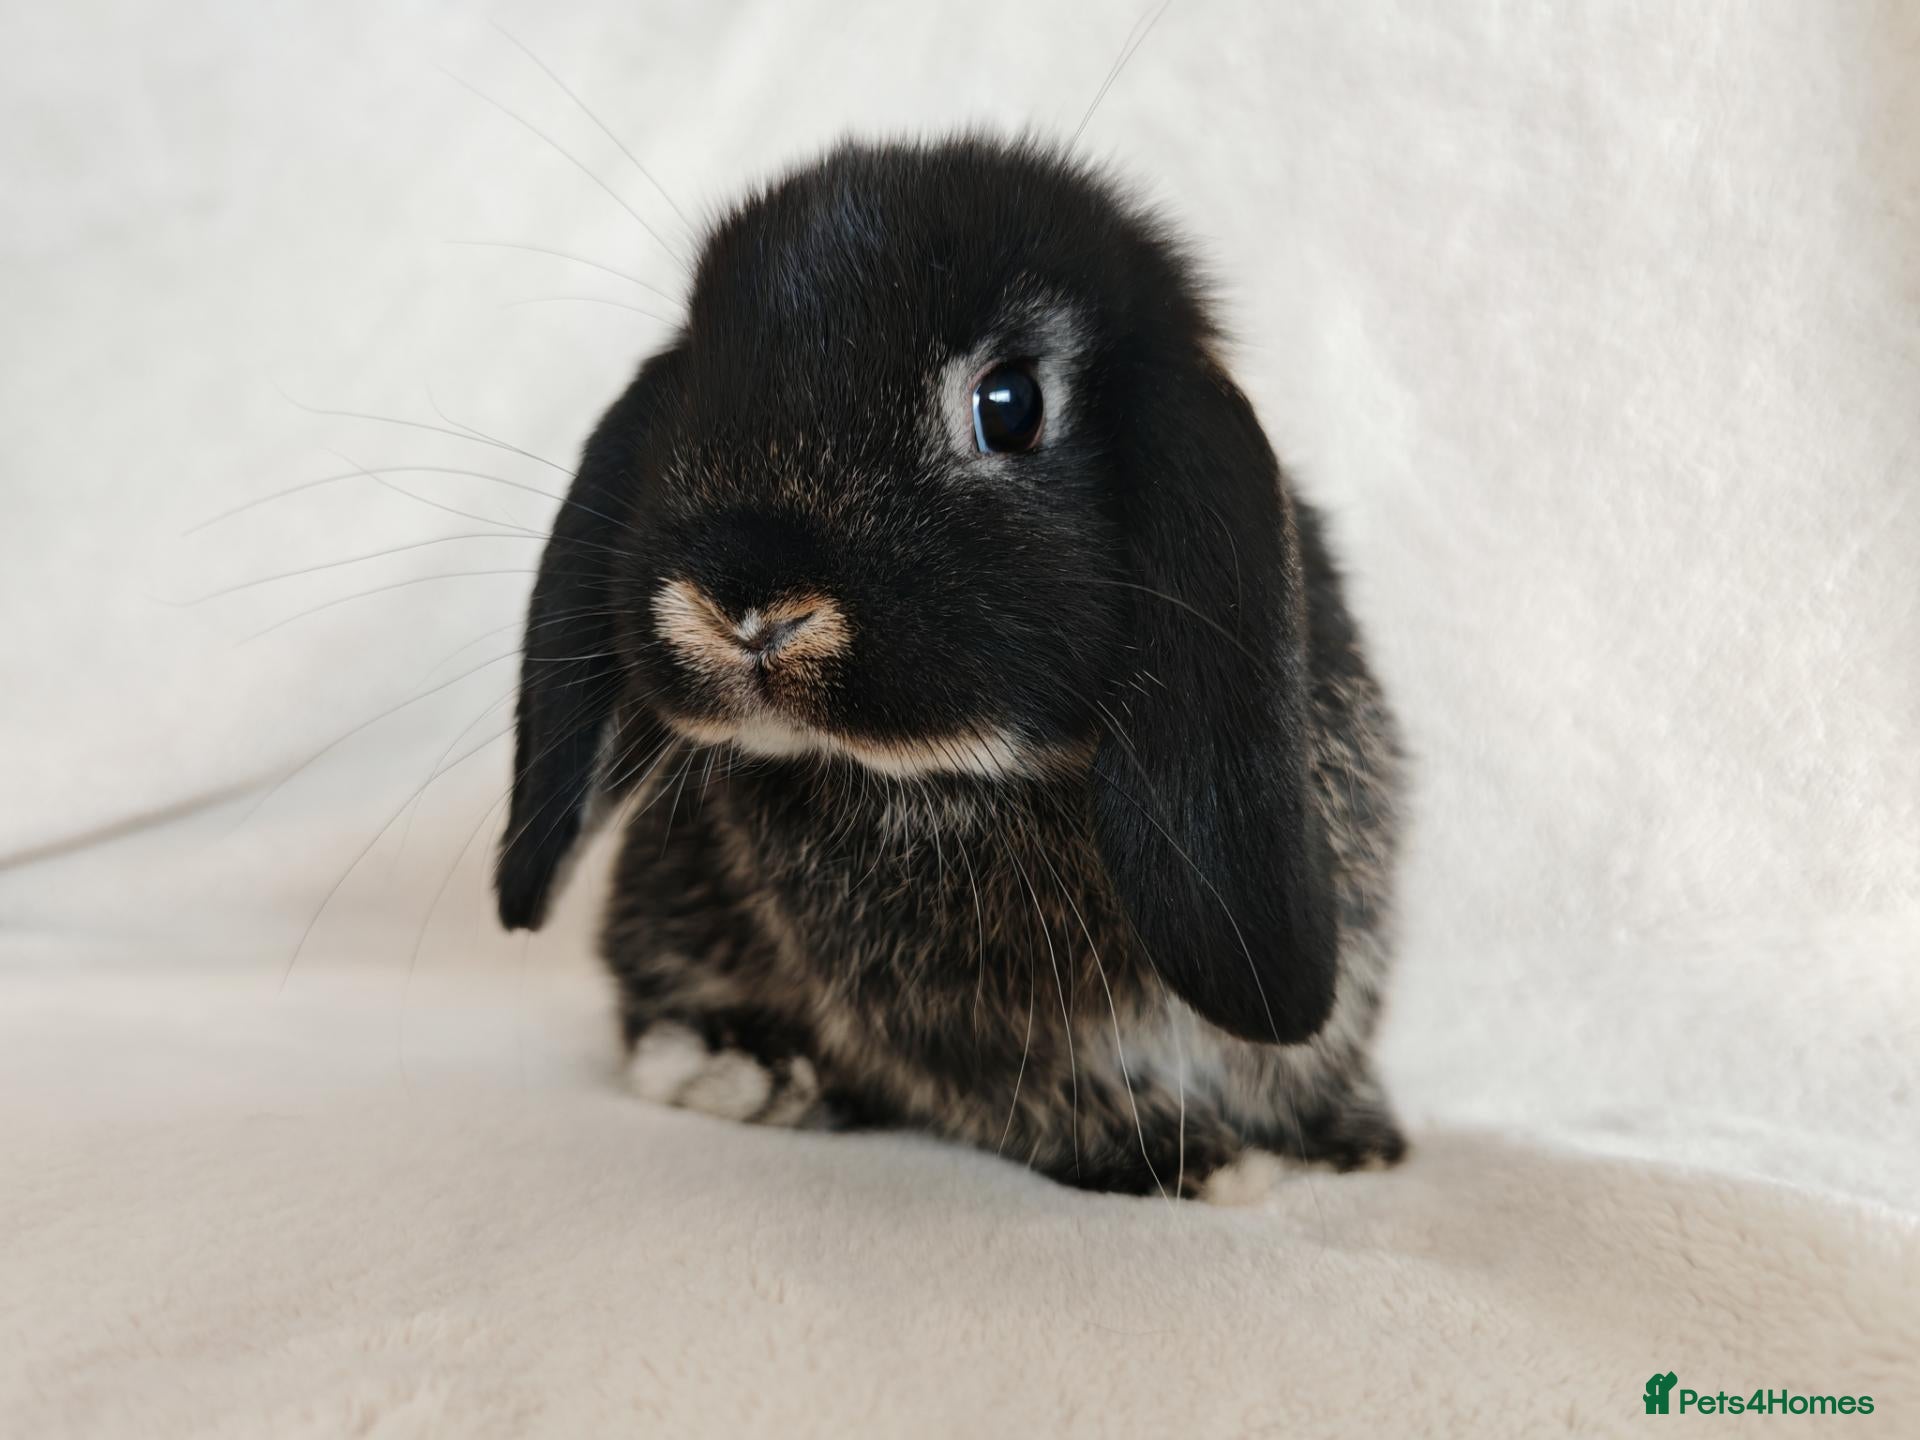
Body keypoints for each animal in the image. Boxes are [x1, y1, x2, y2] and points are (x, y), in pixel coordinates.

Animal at [495, 135, 1405, 1200]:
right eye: (691, 392)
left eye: (1008, 405)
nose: (745, 607)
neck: (981, 775)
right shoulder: (951, 1031)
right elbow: (1037, 1093)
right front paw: (1188, 1162)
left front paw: (1351, 1144)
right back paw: (748, 1074)